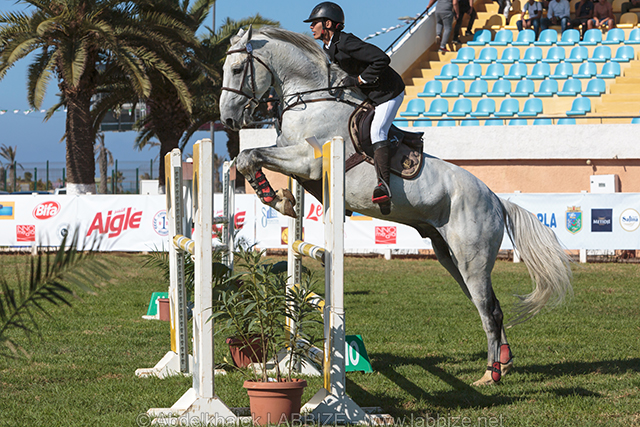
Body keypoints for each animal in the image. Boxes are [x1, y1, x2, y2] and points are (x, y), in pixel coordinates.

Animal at [219, 26, 572, 386]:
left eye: (237, 69)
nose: (228, 119)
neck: (312, 99)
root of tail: (496, 200)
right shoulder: (295, 161)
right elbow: (250, 158)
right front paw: (282, 199)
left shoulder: (308, 161)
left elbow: (248, 156)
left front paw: (275, 197)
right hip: (450, 257)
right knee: (487, 305)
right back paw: (505, 361)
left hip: (472, 259)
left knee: (490, 310)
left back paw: (491, 373)